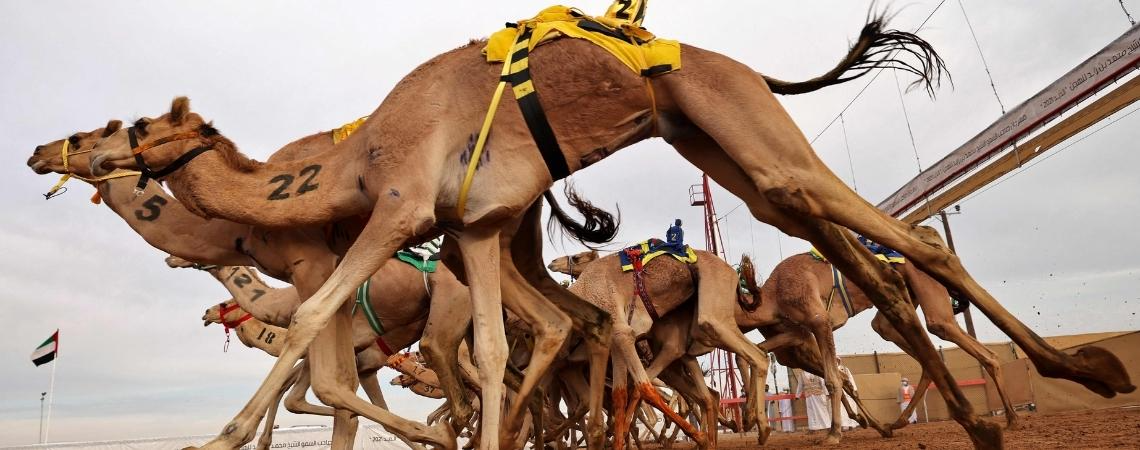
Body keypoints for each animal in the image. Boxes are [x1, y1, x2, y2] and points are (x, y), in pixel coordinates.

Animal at [80, 8, 1130, 448]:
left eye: (126, 130)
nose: (62, 151)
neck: (351, 157)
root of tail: (734, 63)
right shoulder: (476, 228)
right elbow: (487, 358)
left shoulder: (401, 215)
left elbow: (316, 342)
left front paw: (217, 441)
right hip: (729, 155)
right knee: (848, 255)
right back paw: (975, 418)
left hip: (747, 131)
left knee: (898, 245)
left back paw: (1072, 374)